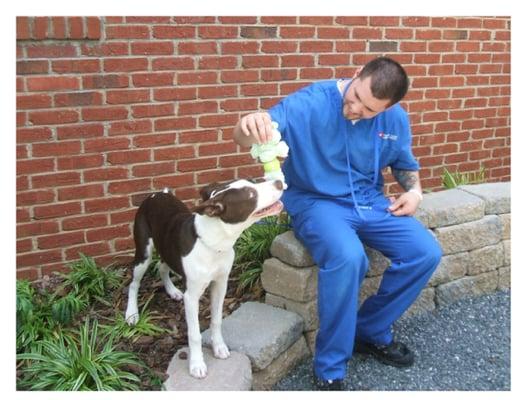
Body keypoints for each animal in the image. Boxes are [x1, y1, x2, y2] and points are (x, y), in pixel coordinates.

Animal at [125, 178, 284, 378]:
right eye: (251, 194)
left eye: (253, 182)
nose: (279, 182)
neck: (213, 243)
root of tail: (157, 194)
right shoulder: (192, 297)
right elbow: (194, 334)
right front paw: (197, 364)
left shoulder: (221, 284)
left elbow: (216, 319)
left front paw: (219, 347)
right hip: (144, 252)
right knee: (134, 283)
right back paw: (131, 313)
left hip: (167, 249)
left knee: (162, 267)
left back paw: (173, 291)